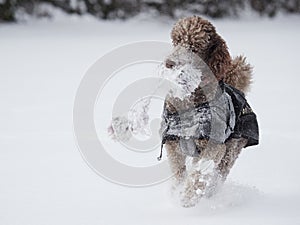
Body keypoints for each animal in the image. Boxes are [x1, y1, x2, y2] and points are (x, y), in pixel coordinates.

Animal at [159, 15, 258, 207]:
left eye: (195, 47)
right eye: (176, 41)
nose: (169, 63)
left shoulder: (214, 146)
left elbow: (198, 173)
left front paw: (188, 197)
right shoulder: (173, 143)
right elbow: (179, 171)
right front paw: (176, 192)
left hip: (232, 149)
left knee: (217, 177)